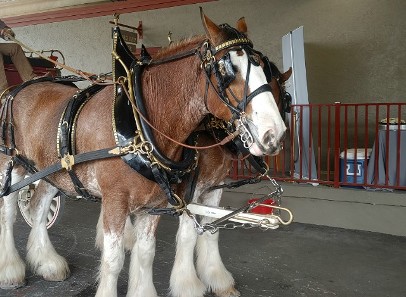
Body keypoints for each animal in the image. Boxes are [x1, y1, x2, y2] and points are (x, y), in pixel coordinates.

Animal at [0, 12, 286, 296]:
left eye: (263, 70)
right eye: (228, 71)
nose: (274, 134)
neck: (140, 125)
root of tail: (14, 90)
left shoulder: (165, 200)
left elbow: (150, 251)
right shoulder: (120, 199)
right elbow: (115, 259)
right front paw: (189, 284)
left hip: (53, 171)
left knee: (38, 207)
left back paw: (47, 262)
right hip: (11, 166)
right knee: (9, 212)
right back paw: (10, 269)